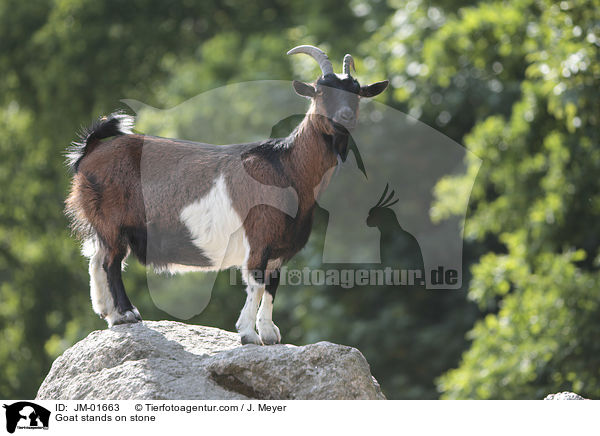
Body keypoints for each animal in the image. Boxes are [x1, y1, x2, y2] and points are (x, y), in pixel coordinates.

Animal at [65, 45, 390, 344]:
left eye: (357, 93)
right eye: (320, 92)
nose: (345, 116)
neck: (287, 168)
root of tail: (91, 151)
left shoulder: (280, 247)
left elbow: (272, 286)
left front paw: (269, 334)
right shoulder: (260, 237)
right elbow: (256, 283)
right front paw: (248, 334)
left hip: (104, 225)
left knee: (97, 258)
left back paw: (109, 314)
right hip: (112, 219)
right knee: (111, 263)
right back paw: (127, 313)